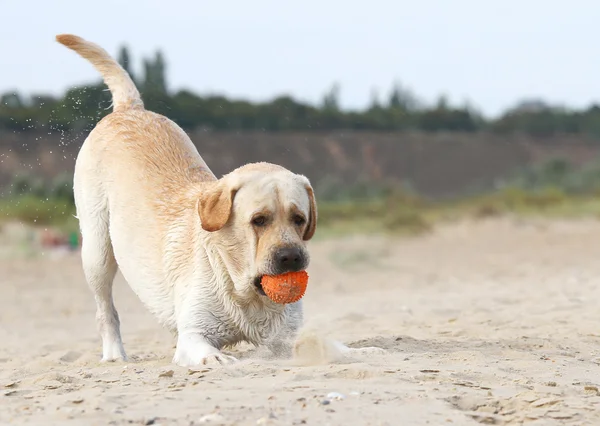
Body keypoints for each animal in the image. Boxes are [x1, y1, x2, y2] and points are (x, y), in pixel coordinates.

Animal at [56, 34, 318, 366]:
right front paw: (221, 361)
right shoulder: (194, 335)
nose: (291, 258)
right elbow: (209, 353)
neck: (243, 290)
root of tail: (130, 108)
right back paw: (115, 354)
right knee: (106, 311)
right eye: (259, 221)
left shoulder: (286, 338)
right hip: (97, 251)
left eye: (299, 219)